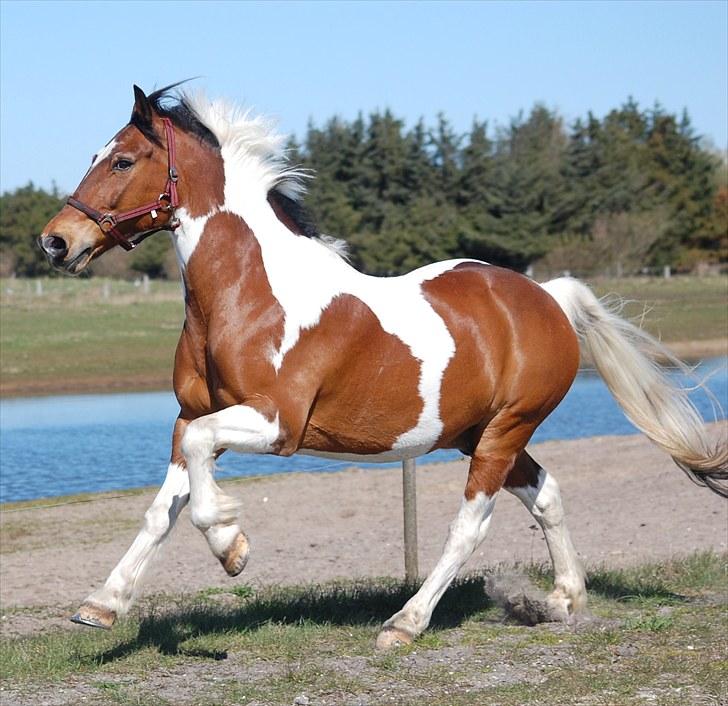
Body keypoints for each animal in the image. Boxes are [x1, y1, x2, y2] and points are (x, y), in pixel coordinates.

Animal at [39, 83, 727, 649]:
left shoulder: (275, 424)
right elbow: (163, 505)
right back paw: (563, 600)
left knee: (470, 526)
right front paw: (102, 604)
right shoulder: (191, 416)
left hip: (505, 430)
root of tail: (547, 298)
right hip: (478, 433)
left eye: (123, 161)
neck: (249, 295)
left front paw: (232, 549)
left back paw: (406, 623)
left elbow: (202, 482)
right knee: (547, 494)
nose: (55, 241)